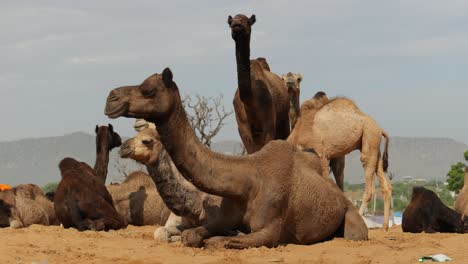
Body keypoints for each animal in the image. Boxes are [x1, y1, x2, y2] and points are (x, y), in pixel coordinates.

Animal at [104, 67, 368, 249]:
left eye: (148, 90)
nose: (111, 98)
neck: (248, 180)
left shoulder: (270, 229)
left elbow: (221, 241)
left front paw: (233, 235)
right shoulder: (220, 217)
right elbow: (193, 235)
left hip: (352, 218)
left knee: (356, 233)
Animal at [229, 14, 290, 154]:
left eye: (247, 20)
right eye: (231, 21)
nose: (236, 23)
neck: (250, 100)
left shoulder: (269, 124)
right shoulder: (243, 128)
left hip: (283, 121)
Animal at [288, 92, 394, 230]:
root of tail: (380, 129)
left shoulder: (321, 153)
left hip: (370, 136)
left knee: (369, 188)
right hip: (374, 146)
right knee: (385, 184)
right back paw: (385, 226)